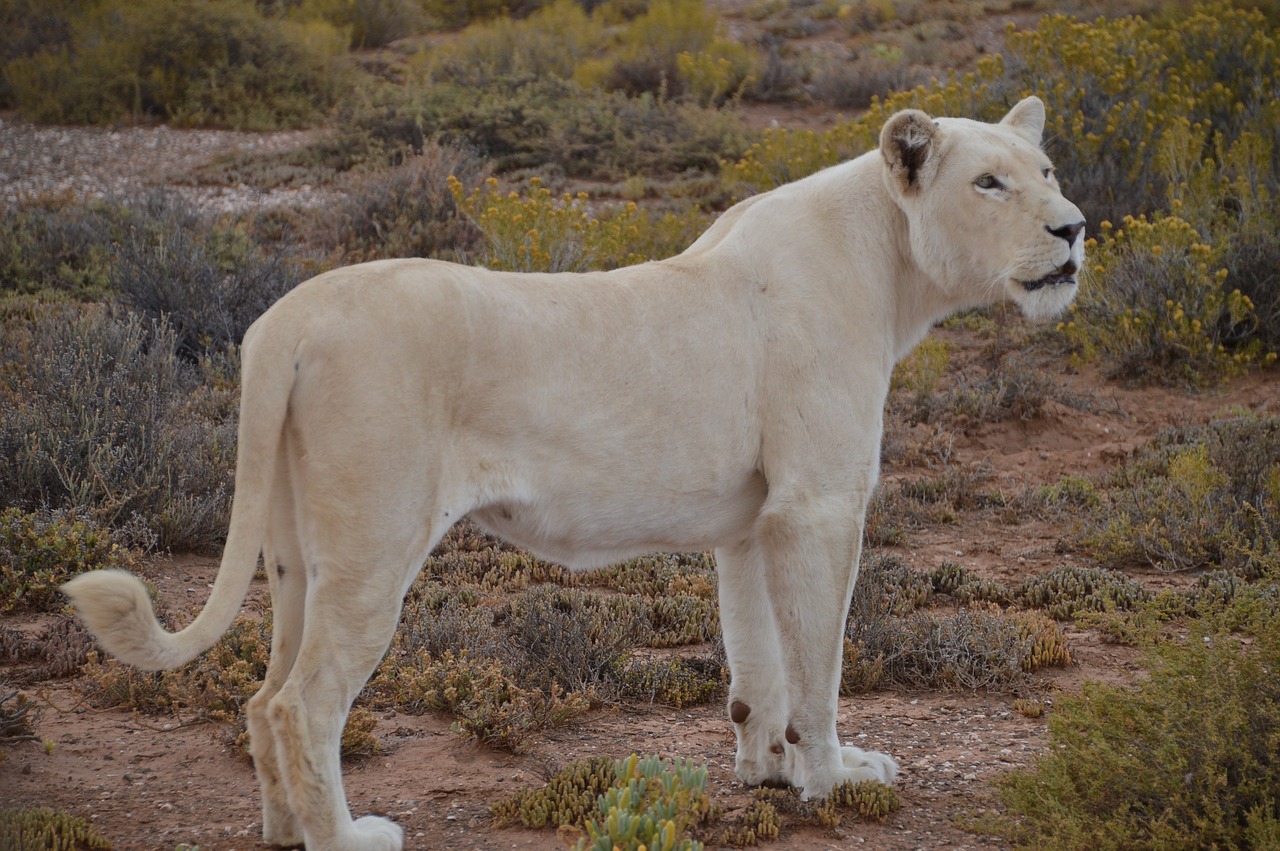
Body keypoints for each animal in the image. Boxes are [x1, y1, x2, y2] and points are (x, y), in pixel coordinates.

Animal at [60, 95, 1080, 844]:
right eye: (989, 183)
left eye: (1048, 173)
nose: (1074, 230)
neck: (894, 263)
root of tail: (288, 319)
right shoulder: (818, 506)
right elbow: (819, 663)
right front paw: (834, 778)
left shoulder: (755, 520)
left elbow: (759, 660)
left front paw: (768, 768)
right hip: (373, 545)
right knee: (301, 704)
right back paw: (350, 837)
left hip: (293, 555)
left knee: (261, 692)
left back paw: (285, 831)